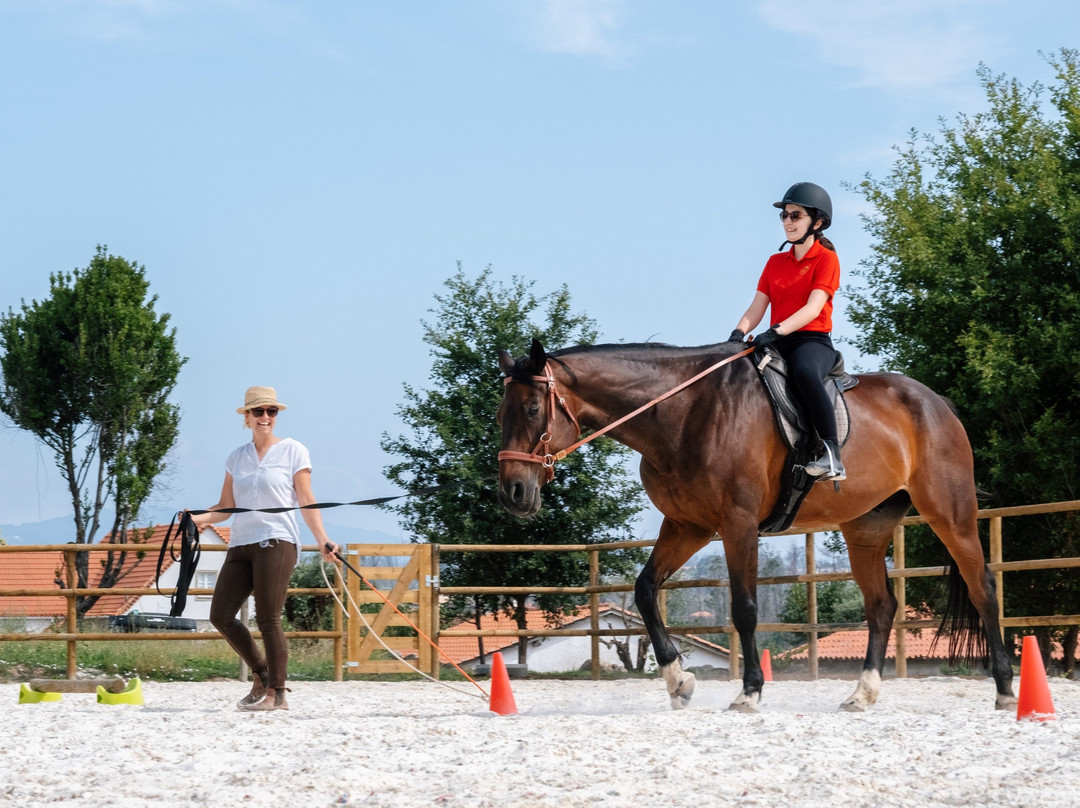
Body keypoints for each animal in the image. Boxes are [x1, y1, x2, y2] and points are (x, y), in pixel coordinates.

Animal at [494, 339, 1015, 712]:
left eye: (533, 410)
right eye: (502, 413)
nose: (513, 492)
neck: (682, 413)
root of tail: (935, 403)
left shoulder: (737, 524)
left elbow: (744, 608)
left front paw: (749, 692)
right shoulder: (687, 525)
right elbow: (644, 591)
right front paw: (679, 681)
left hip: (950, 514)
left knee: (983, 588)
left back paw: (1006, 690)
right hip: (865, 530)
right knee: (882, 606)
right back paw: (862, 694)